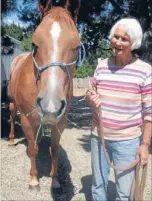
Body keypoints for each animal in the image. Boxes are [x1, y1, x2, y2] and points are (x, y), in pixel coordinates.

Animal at [7, 0, 81, 189]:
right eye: (34, 44)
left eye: (77, 47)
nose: (50, 104)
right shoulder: (26, 119)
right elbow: (32, 149)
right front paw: (34, 180)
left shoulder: (60, 122)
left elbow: (54, 150)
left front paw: (55, 181)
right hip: (12, 103)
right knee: (12, 116)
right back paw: (11, 140)